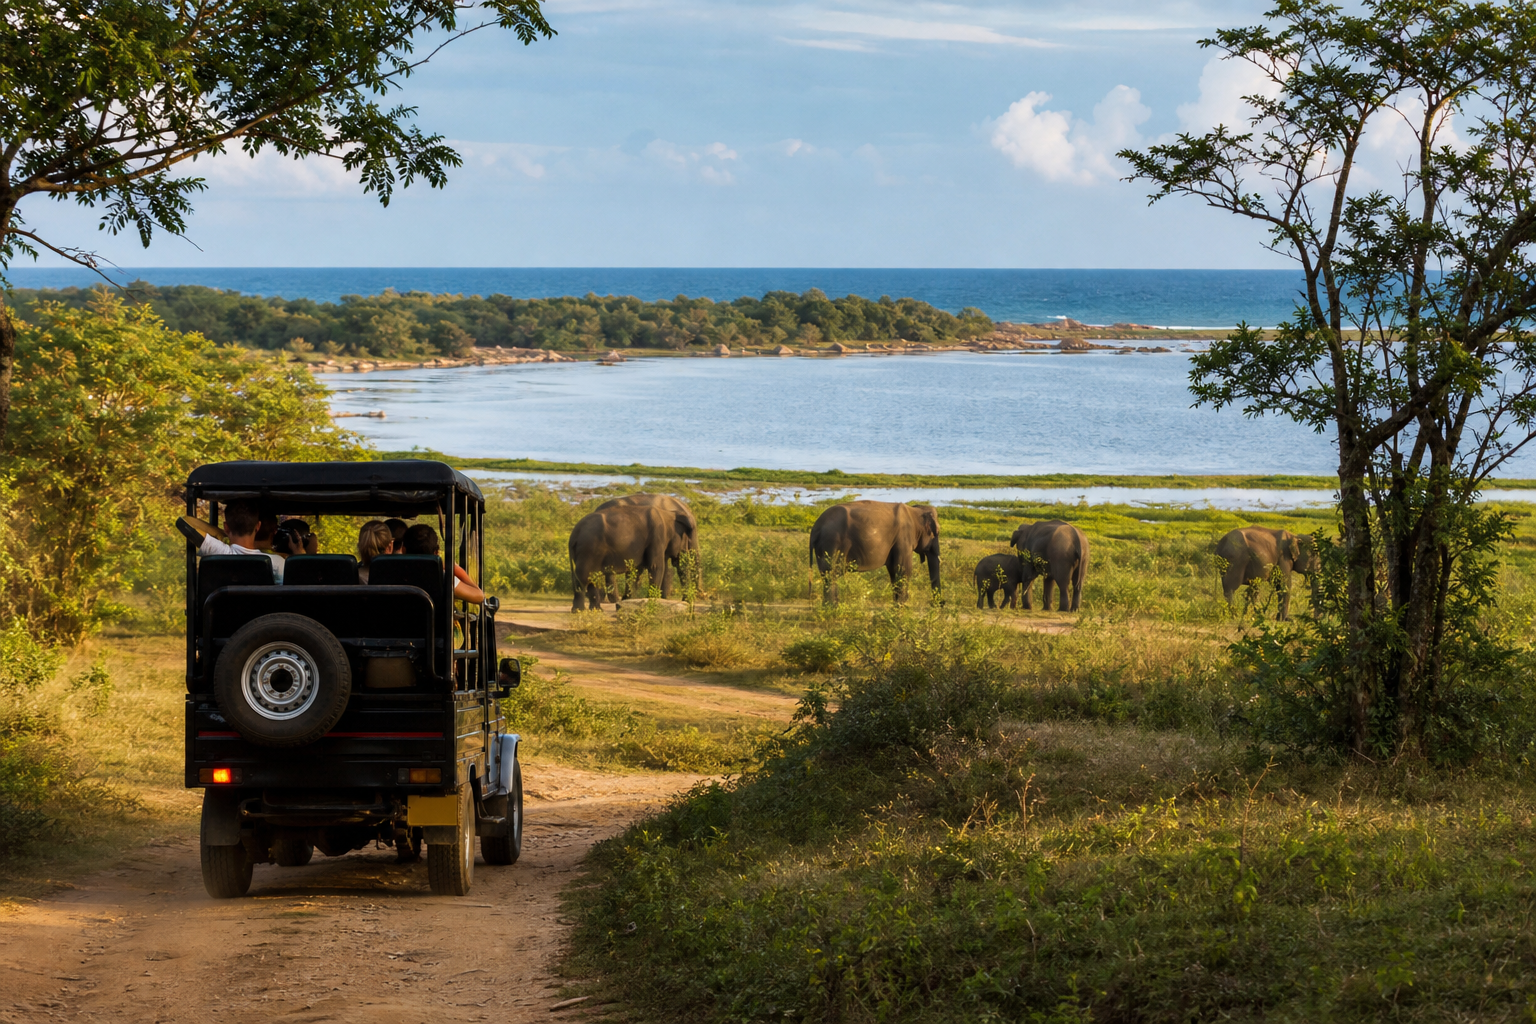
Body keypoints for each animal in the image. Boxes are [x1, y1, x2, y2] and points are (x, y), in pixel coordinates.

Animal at [809, 501, 941, 604]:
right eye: (937, 532)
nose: (939, 604)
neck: (914, 511)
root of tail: (815, 527)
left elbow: (894, 571)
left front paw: (897, 606)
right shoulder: (903, 538)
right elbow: (903, 570)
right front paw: (903, 606)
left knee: (828, 575)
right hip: (831, 543)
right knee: (831, 573)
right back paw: (832, 608)